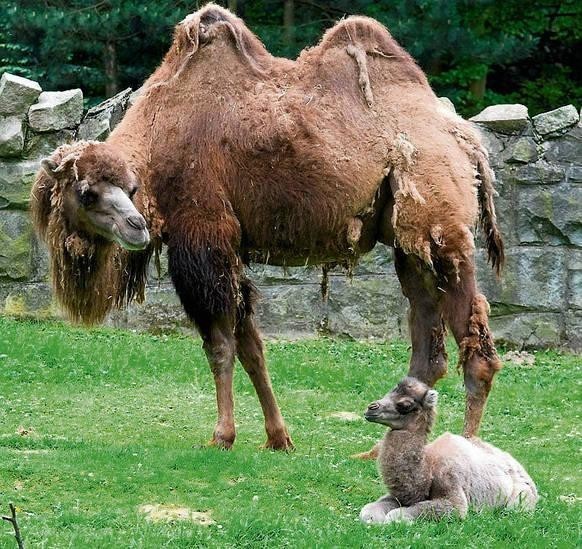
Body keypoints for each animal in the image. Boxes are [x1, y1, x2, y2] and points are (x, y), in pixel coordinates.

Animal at [30, 3, 506, 450]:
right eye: (88, 192)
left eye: (126, 188)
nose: (136, 226)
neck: (160, 136)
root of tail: (467, 142)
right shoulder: (230, 248)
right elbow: (251, 345)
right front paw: (278, 437)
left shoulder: (204, 236)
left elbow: (219, 345)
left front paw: (222, 435)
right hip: (408, 241)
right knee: (429, 345)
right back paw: (380, 450)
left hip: (440, 220)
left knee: (476, 346)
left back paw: (466, 447)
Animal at [362, 376, 540, 524]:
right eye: (389, 392)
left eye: (405, 405)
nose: (371, 408)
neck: (428, 469)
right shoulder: (400, 497)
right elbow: (367, 511)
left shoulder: (453, 494)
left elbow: (396, 515)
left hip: (521, 497)